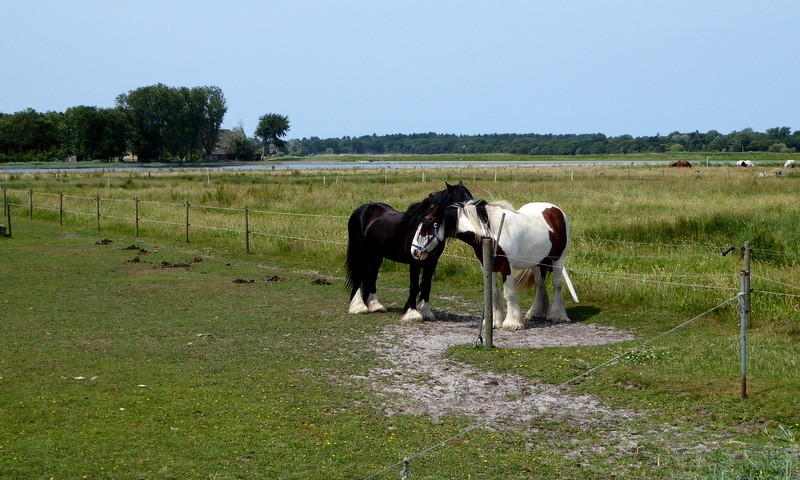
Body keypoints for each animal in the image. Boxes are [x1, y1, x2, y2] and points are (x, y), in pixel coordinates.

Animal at [346, 183, 472, 322]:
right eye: (459, 204)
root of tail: (362, 210)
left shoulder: (432, 262)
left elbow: (426, 285)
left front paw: (425, 311)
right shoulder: (415, 261)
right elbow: (414, 286)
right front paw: (412, 313)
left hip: (376, 255)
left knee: (372, 275)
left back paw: (375, 305)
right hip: (359, 251)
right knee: (358, 275)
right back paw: (359, 307)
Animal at [412, 199, 576, 330]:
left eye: (427, 225)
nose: (414, 252)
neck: (492, 233)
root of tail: (556, 210)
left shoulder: (506, 266)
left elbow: (508, 294)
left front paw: (512, 323)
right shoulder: (488, 266)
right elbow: (494, 293)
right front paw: (494, 321)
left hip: (558, 259)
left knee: (557, 285)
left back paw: (557, 315)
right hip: (536, 262)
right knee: (540, 284)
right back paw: (536, 312)